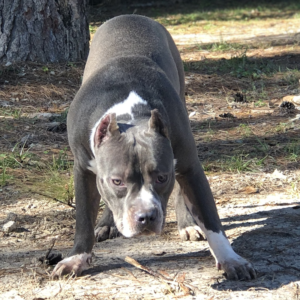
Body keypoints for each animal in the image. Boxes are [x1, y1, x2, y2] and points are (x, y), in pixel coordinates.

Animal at [51, 14, 255, 282]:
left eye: (161, 178)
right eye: (117, 181)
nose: (146, 217)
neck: (131, 114)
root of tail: (130, 15)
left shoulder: (189, 166)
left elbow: (211, 219)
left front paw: (230, 259)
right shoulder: (83, 169)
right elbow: (84, 218)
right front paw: (76, 259)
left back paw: (187, 224)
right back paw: (107, 223)